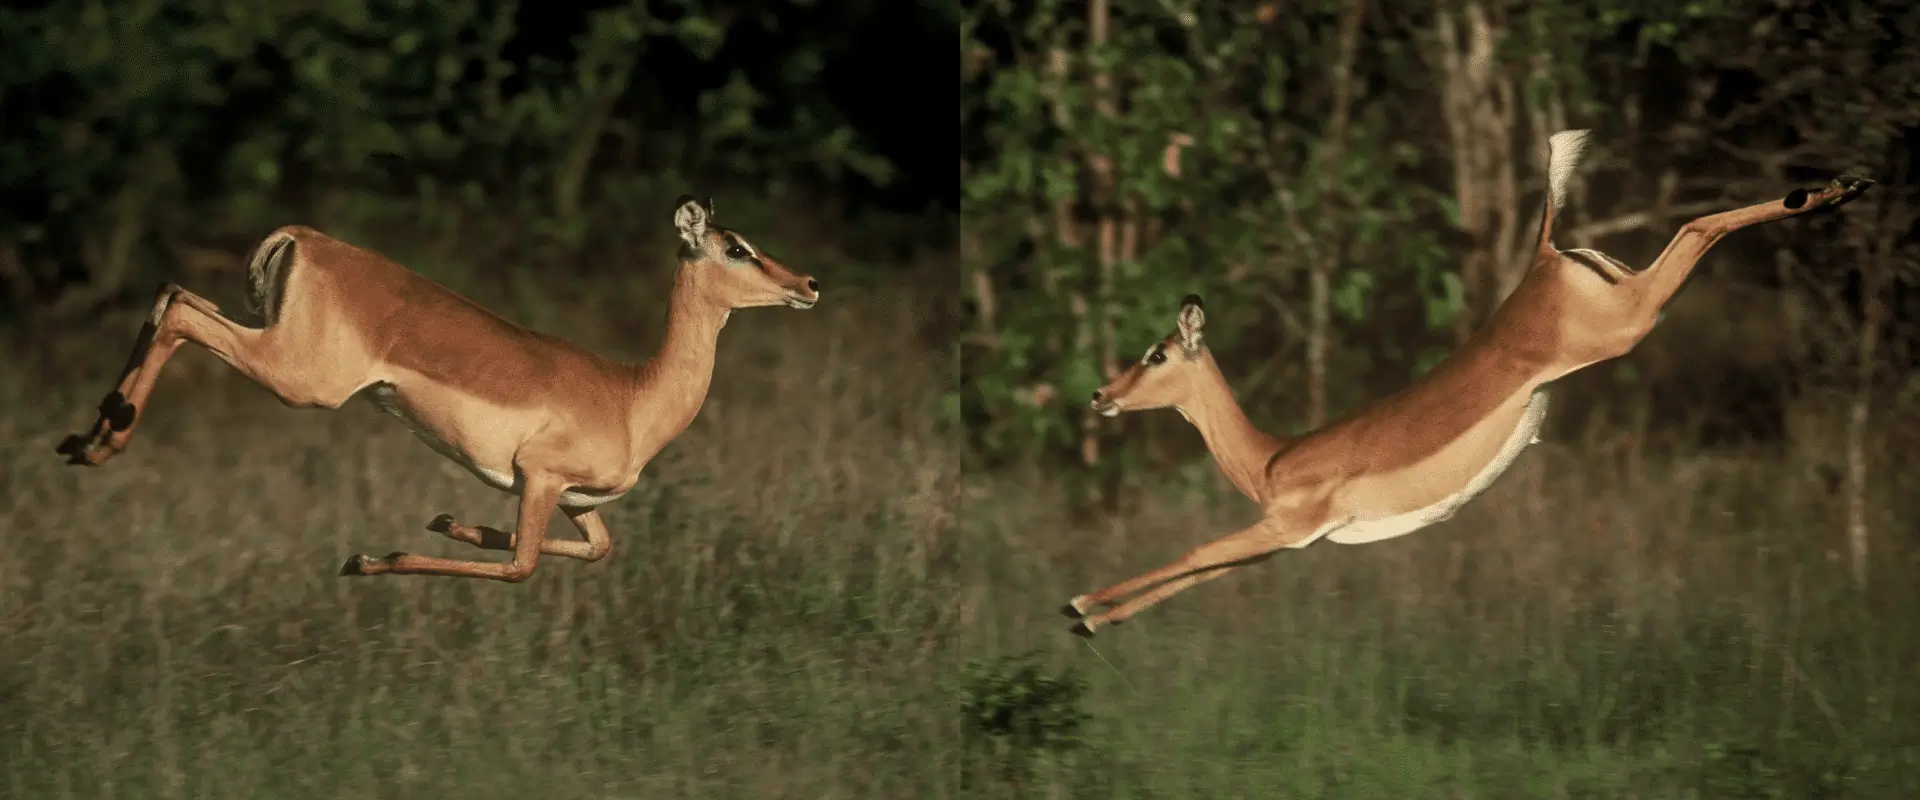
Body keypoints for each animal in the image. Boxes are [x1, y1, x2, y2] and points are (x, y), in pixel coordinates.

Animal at [58, 196, 821, 582]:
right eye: (736, 247)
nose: (808, 284)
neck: (635, 398)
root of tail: (307, 237)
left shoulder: (575, 503)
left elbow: (595, 550)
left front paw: (447, 521)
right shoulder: (539, 479)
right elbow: (521, 566)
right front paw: (368, 557)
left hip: (269, 338)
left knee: (172, 294)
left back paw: (85, 438)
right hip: (303, 380)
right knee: (180, 312)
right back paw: (103, 444)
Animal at [1064, 129, 1873, 636]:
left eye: (1156, 352)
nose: (1101, 397)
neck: (1271, 460)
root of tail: (1544, 259)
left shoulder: (1286, 526)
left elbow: (1192, 555)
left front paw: (1077, 604)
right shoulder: (1284, 542)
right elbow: (1196, 575)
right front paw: (1093, 623)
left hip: (1629, 321)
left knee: (1697, 226)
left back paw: (1837, 187)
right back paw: (1839, 187)